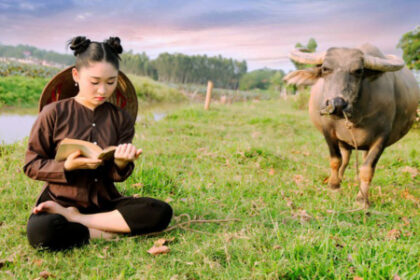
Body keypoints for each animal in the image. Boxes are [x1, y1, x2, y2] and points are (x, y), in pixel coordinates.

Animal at [284, 43, 418, 206]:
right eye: (325, 68)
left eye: (358, 71)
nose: (337, 104)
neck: (355, 118)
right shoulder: (328, 132)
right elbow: (336, 160)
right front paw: (334, 186)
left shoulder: (382, 136)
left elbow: (367, 168)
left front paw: (362, 198)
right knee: (345, 159)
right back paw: (339, 179)